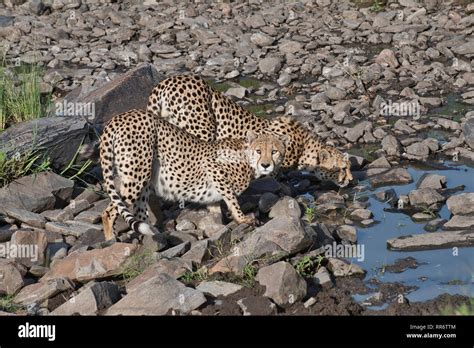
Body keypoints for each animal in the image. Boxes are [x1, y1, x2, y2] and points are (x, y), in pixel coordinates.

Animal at [99, 110, 288, 241]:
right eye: (259, 151)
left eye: (274, 151)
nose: (266, 165)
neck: (246, 158)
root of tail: (120, 117)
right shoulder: (212, 167)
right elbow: (231, 198)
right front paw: (242, 219)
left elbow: (215, 207)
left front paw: (217, 226)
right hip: (137, 175)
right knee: (109, 211)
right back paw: (111, 239)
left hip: (144, 178)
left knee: (139, 211)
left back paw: (155, 234)